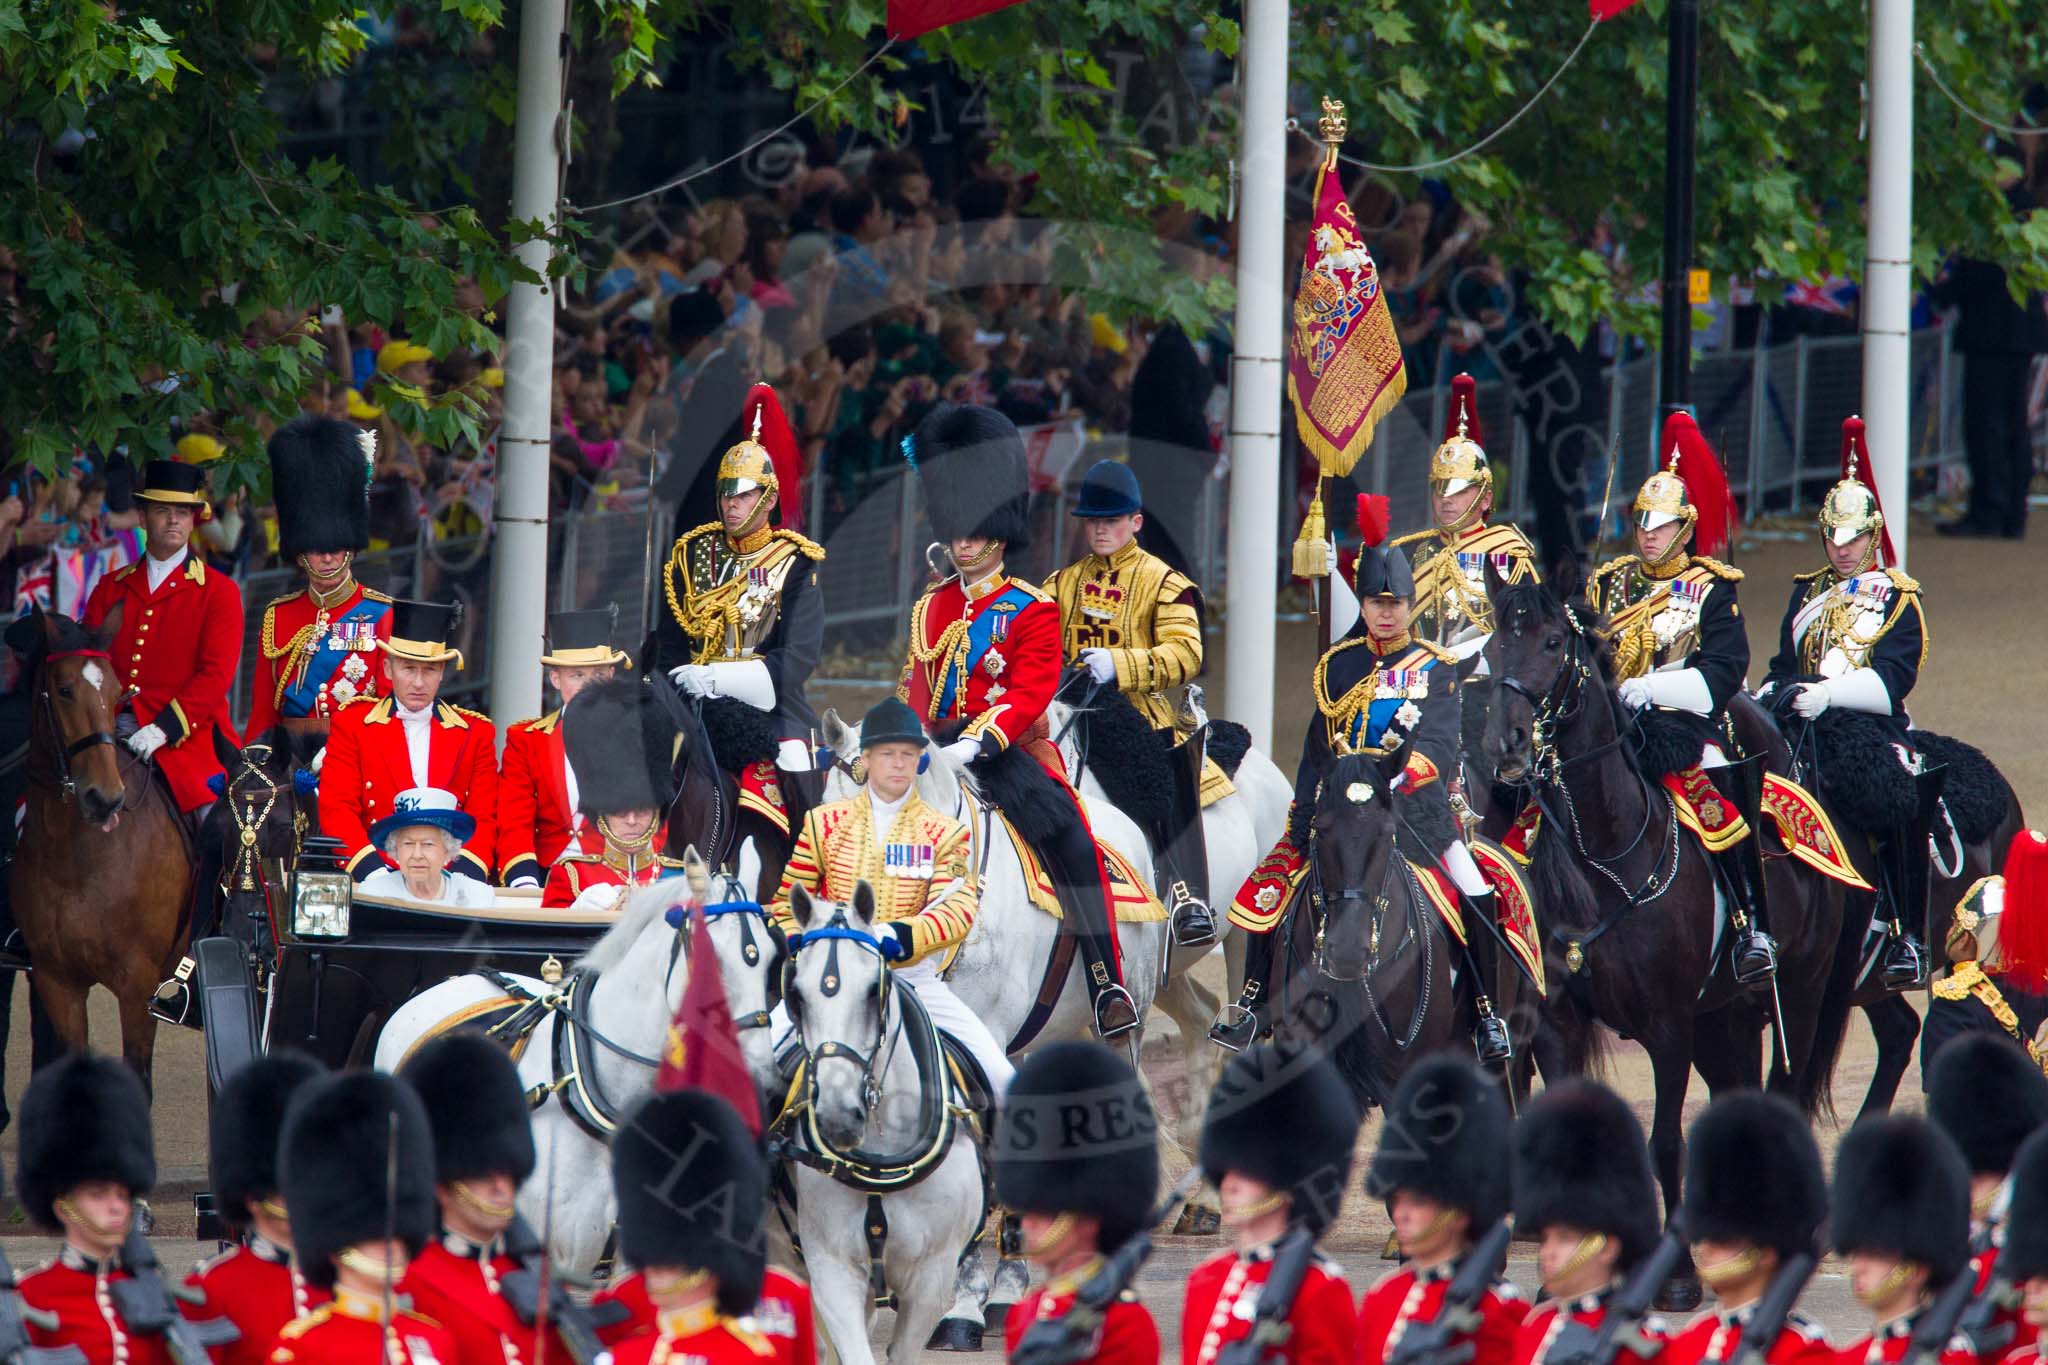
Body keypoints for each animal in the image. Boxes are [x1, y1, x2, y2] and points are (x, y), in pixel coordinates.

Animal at [9, 609, 193, 1088]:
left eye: (115, 692)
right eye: (64, 690)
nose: (104, 798)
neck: (76, 858)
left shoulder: (138, 986)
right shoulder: (57, 982)